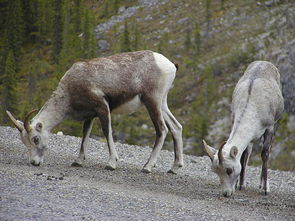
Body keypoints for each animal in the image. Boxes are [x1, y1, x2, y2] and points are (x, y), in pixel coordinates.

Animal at [6, 51, 183, 174]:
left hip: (152, 102)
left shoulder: (102, 107)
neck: (69, 91)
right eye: (24, 141)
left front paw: (111, 163)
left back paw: (147, 167)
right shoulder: (90, 115)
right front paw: (78, 162)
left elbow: (107, 132)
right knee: (176, 127)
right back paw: (174, 168)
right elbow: (85, 136)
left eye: (35, 139)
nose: (34, 163)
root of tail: (169, 65)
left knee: (162, 130)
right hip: (162, 104)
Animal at [204, 60, 284, 197]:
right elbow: (242, 157)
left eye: (229, 170)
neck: (252, 105)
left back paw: (261, 185)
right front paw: (240, 185)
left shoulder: (269, 128)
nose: (226, 193)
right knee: (247, 153)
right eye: (215, 171)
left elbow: (265, 154)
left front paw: (265, 189)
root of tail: (263, 62)